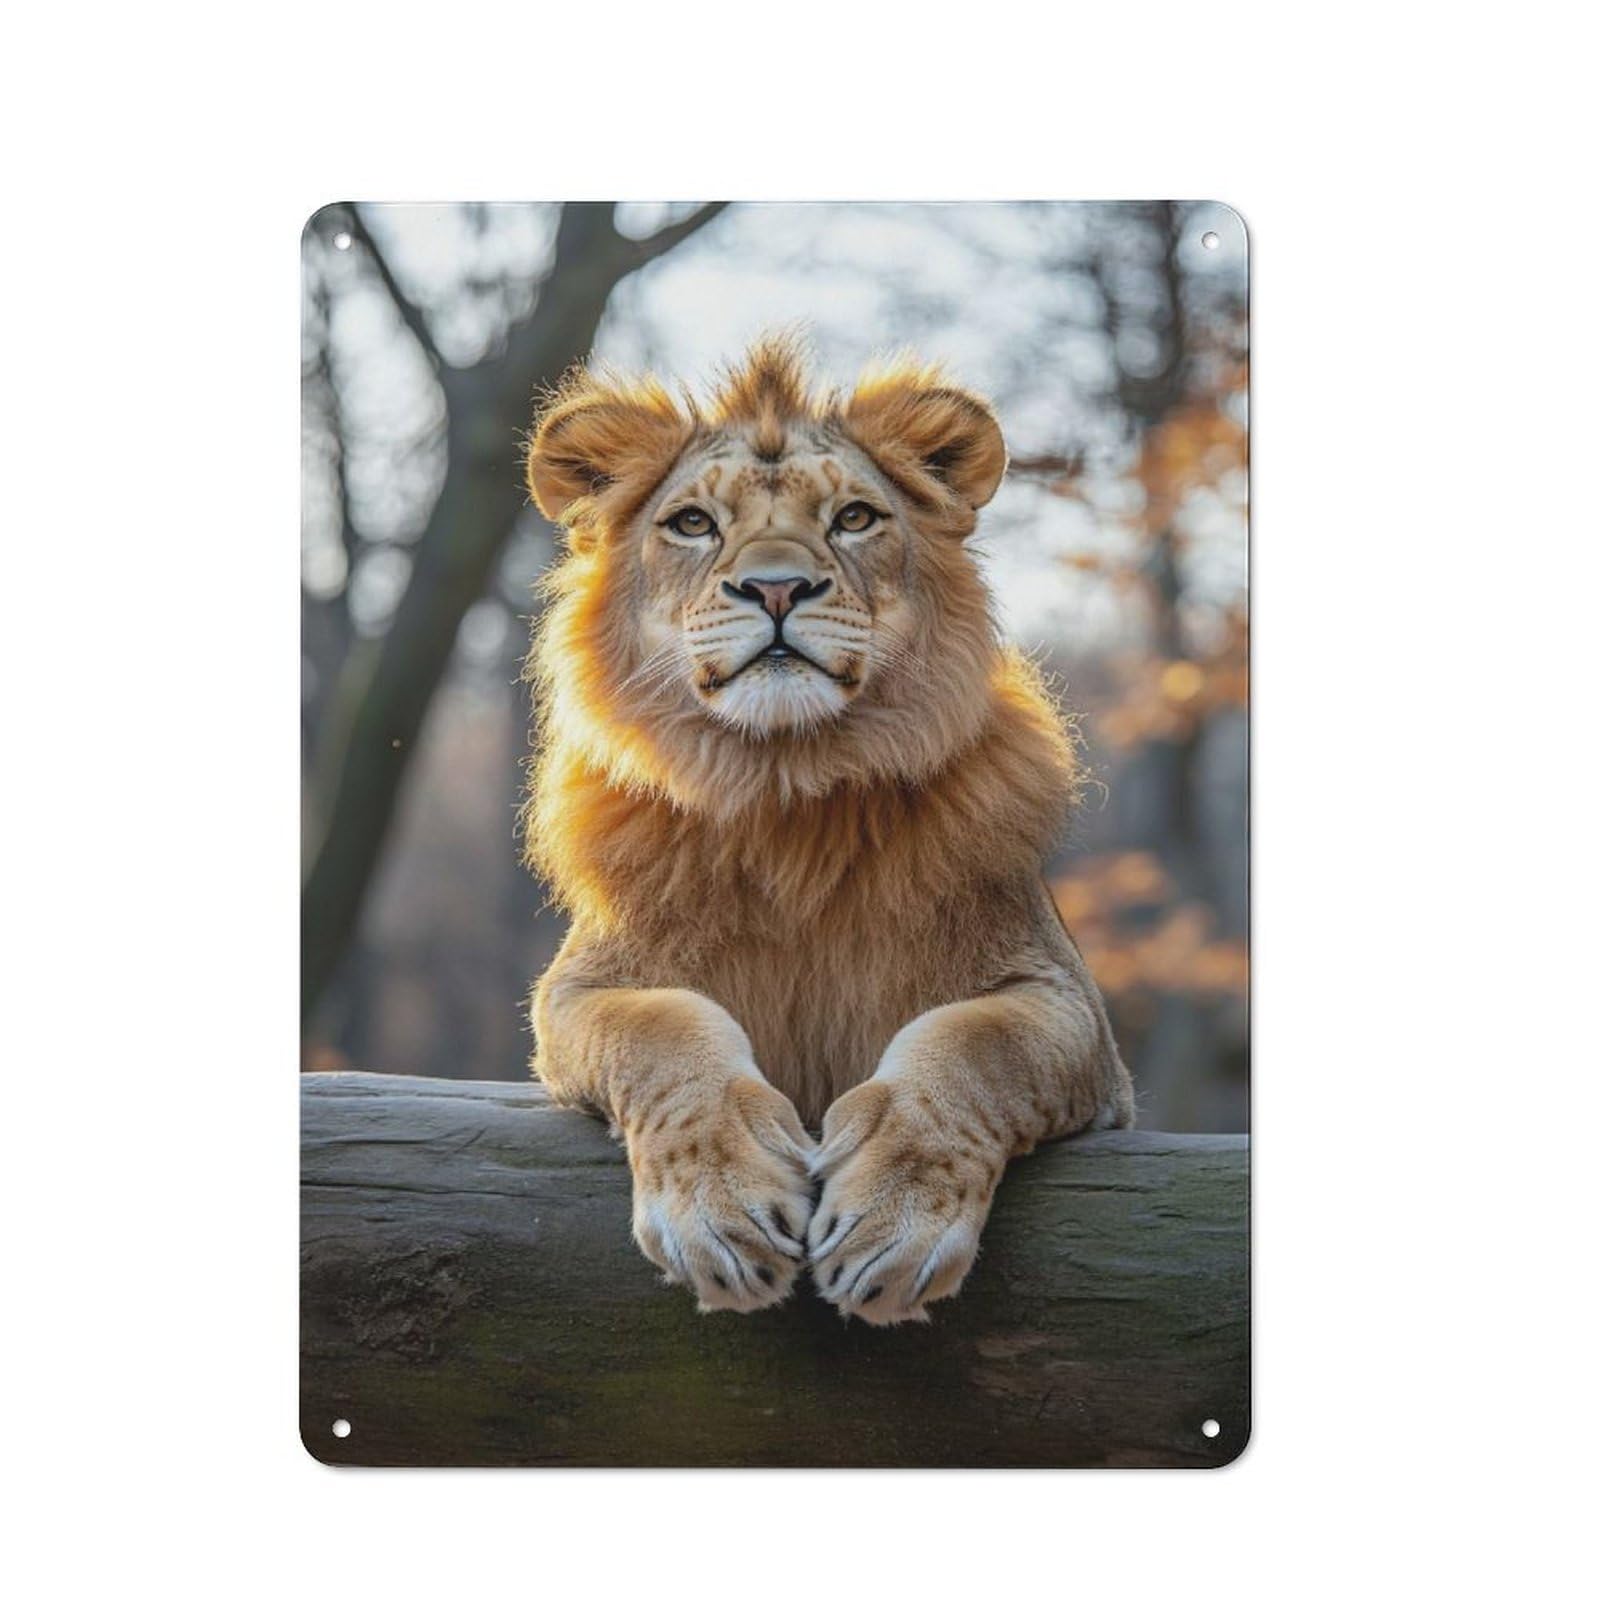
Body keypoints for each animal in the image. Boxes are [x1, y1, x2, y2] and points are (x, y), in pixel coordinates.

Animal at [521, 335, 1133, 1326]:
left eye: (853, 518)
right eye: (692, 523)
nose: (776, 587)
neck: (788, 789)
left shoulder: (1069, 1010)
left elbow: (973, 1045)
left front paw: (893, 1227)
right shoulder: (580, 992)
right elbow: (663, 1028)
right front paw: (722, 1214)